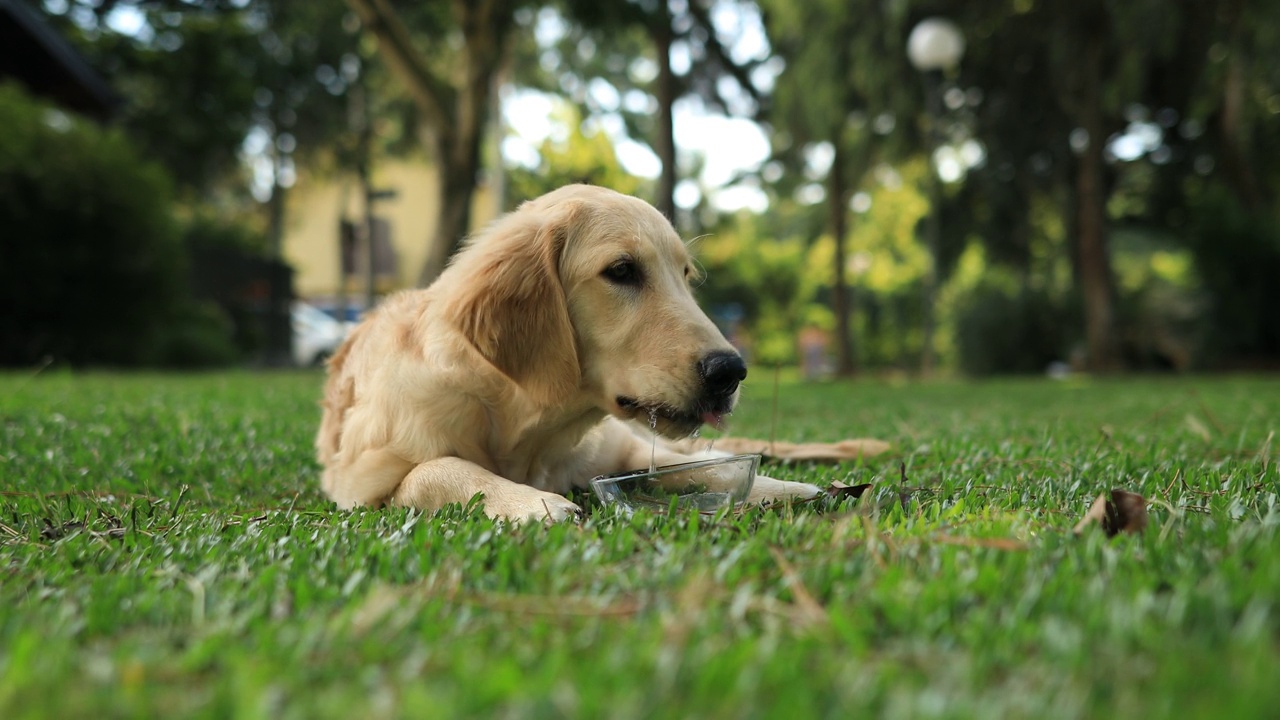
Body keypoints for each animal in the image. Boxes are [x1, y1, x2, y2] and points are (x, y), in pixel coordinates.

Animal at [318, 183, 819, 520]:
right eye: (622, 270)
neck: (524, 422)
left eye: (684, 275)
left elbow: (691, 466)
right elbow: (439, 469)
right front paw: (530, 502)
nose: (730, 372)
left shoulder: (622, 449)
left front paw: (781, 487)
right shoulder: (361, 480)